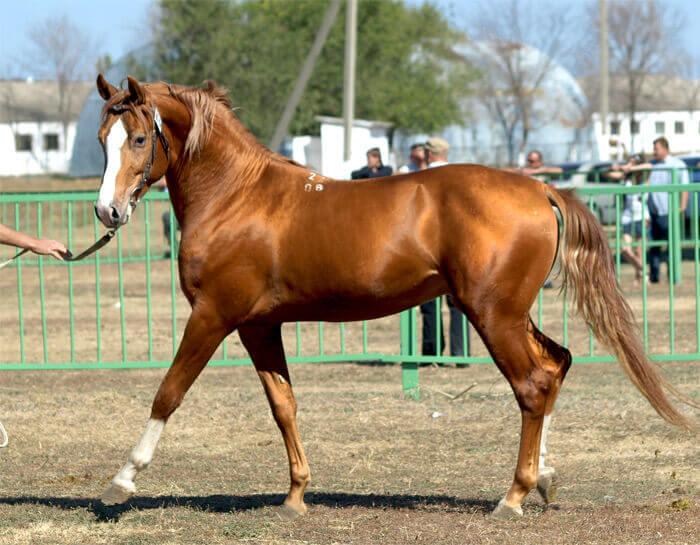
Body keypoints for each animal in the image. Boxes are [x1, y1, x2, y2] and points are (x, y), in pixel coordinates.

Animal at [93, 74, 693, 519]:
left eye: (139, 139)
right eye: (102, 140)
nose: (107, 211)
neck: (238, 197)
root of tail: (540, 188)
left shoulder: (214, 316)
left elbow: (168, 393)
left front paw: (122, 480)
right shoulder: (259, 325)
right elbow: (284, 405)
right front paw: (295, 495)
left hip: (492, 314)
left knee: (533, 383)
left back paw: (513, 496)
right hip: (510, 313)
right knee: (557, 363)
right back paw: (543, 477)